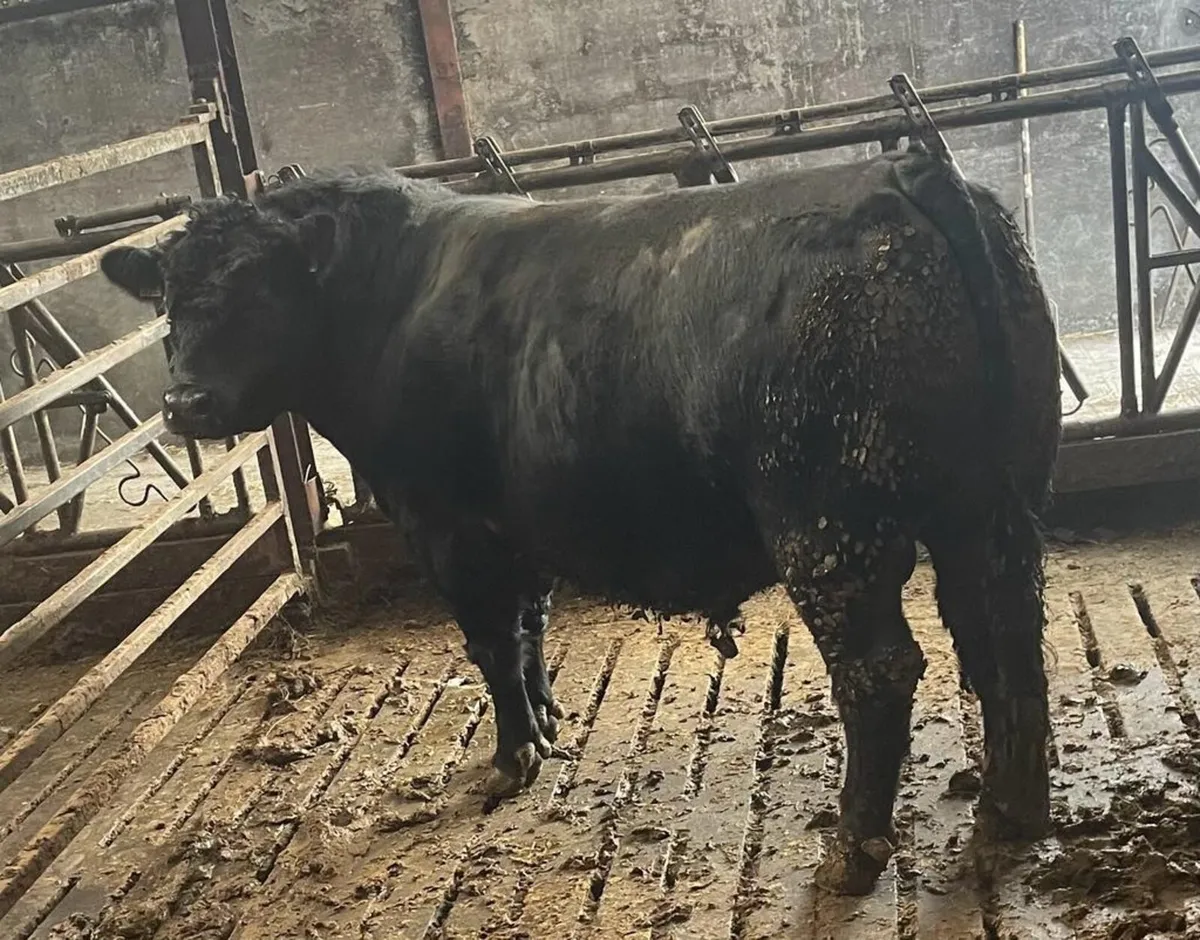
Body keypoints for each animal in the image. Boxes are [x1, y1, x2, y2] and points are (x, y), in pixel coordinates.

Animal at [100, 145, 1061, 895]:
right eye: (170, 300)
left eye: (259, 289)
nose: (185, 402)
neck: (390, 300)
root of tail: (902, 172)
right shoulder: (514, 525)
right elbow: (530, 628)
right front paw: (549, 721)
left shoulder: (446, 522)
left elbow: (491, 643)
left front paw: (512, 758)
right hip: (992, 502)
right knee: (1005, 632)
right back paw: (1009, 813)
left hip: (828, 525)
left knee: (881, 671)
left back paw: (852, 853)